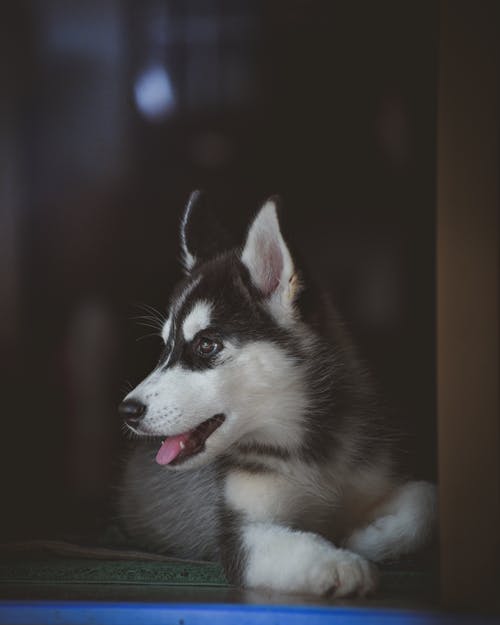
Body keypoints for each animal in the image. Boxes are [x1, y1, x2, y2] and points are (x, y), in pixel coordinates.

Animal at [119, 191, 436, 596]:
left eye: (206, 345)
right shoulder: (243, 531)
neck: (310, 449)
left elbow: (426, 498)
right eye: (165, 347)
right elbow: (296, 545)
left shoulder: (372, 473)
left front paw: (368, 538)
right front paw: (343, 565)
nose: (127, 410)